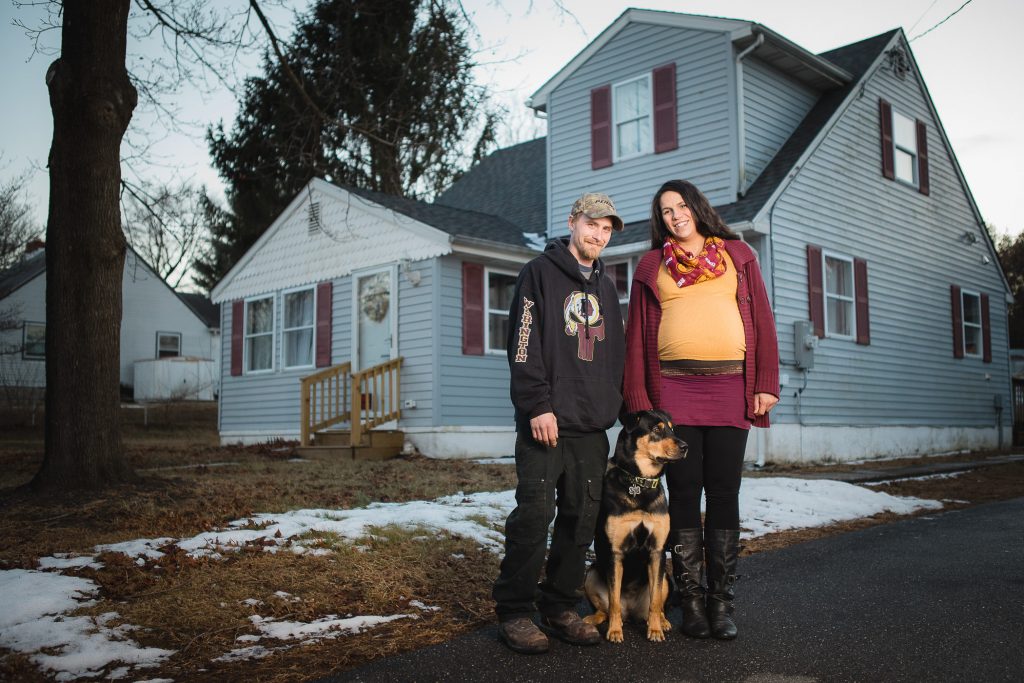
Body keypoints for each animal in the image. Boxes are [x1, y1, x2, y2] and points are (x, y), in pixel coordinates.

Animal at [585, 411, 688, 643]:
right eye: (657, 429)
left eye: (672, 429)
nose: (686, 446)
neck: (640, 482)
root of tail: (631, 612)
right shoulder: (615, 553)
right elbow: (613, 600)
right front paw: (614, 632)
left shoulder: (657, 551)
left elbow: (656, 600)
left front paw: (655, 631)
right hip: (591, 573)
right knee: (605, 609)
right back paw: (592, 620)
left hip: (666, 577)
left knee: (658, 605)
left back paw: (662, 621)